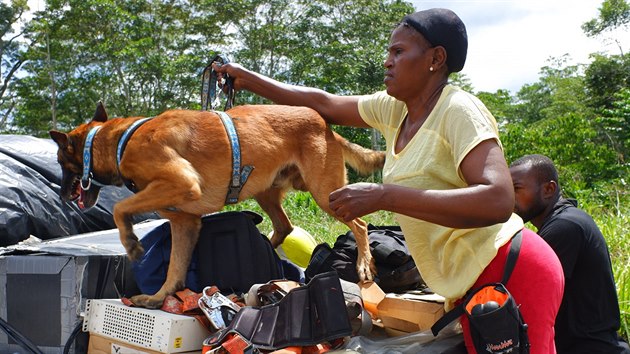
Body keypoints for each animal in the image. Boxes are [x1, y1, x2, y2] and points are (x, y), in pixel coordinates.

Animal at [49, 101, 386, 306]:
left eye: (60, 162)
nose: (61, 195)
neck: (121, 140)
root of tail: (325, 125)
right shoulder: (184, 222)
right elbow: (175, 267)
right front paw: (160, 297)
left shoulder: (182, 182)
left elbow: (121, 208)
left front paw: (131, 242)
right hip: (266, 192)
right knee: (284, 226)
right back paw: (268, 253)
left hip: (325, 194)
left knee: (360, 224)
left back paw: (364, 265)